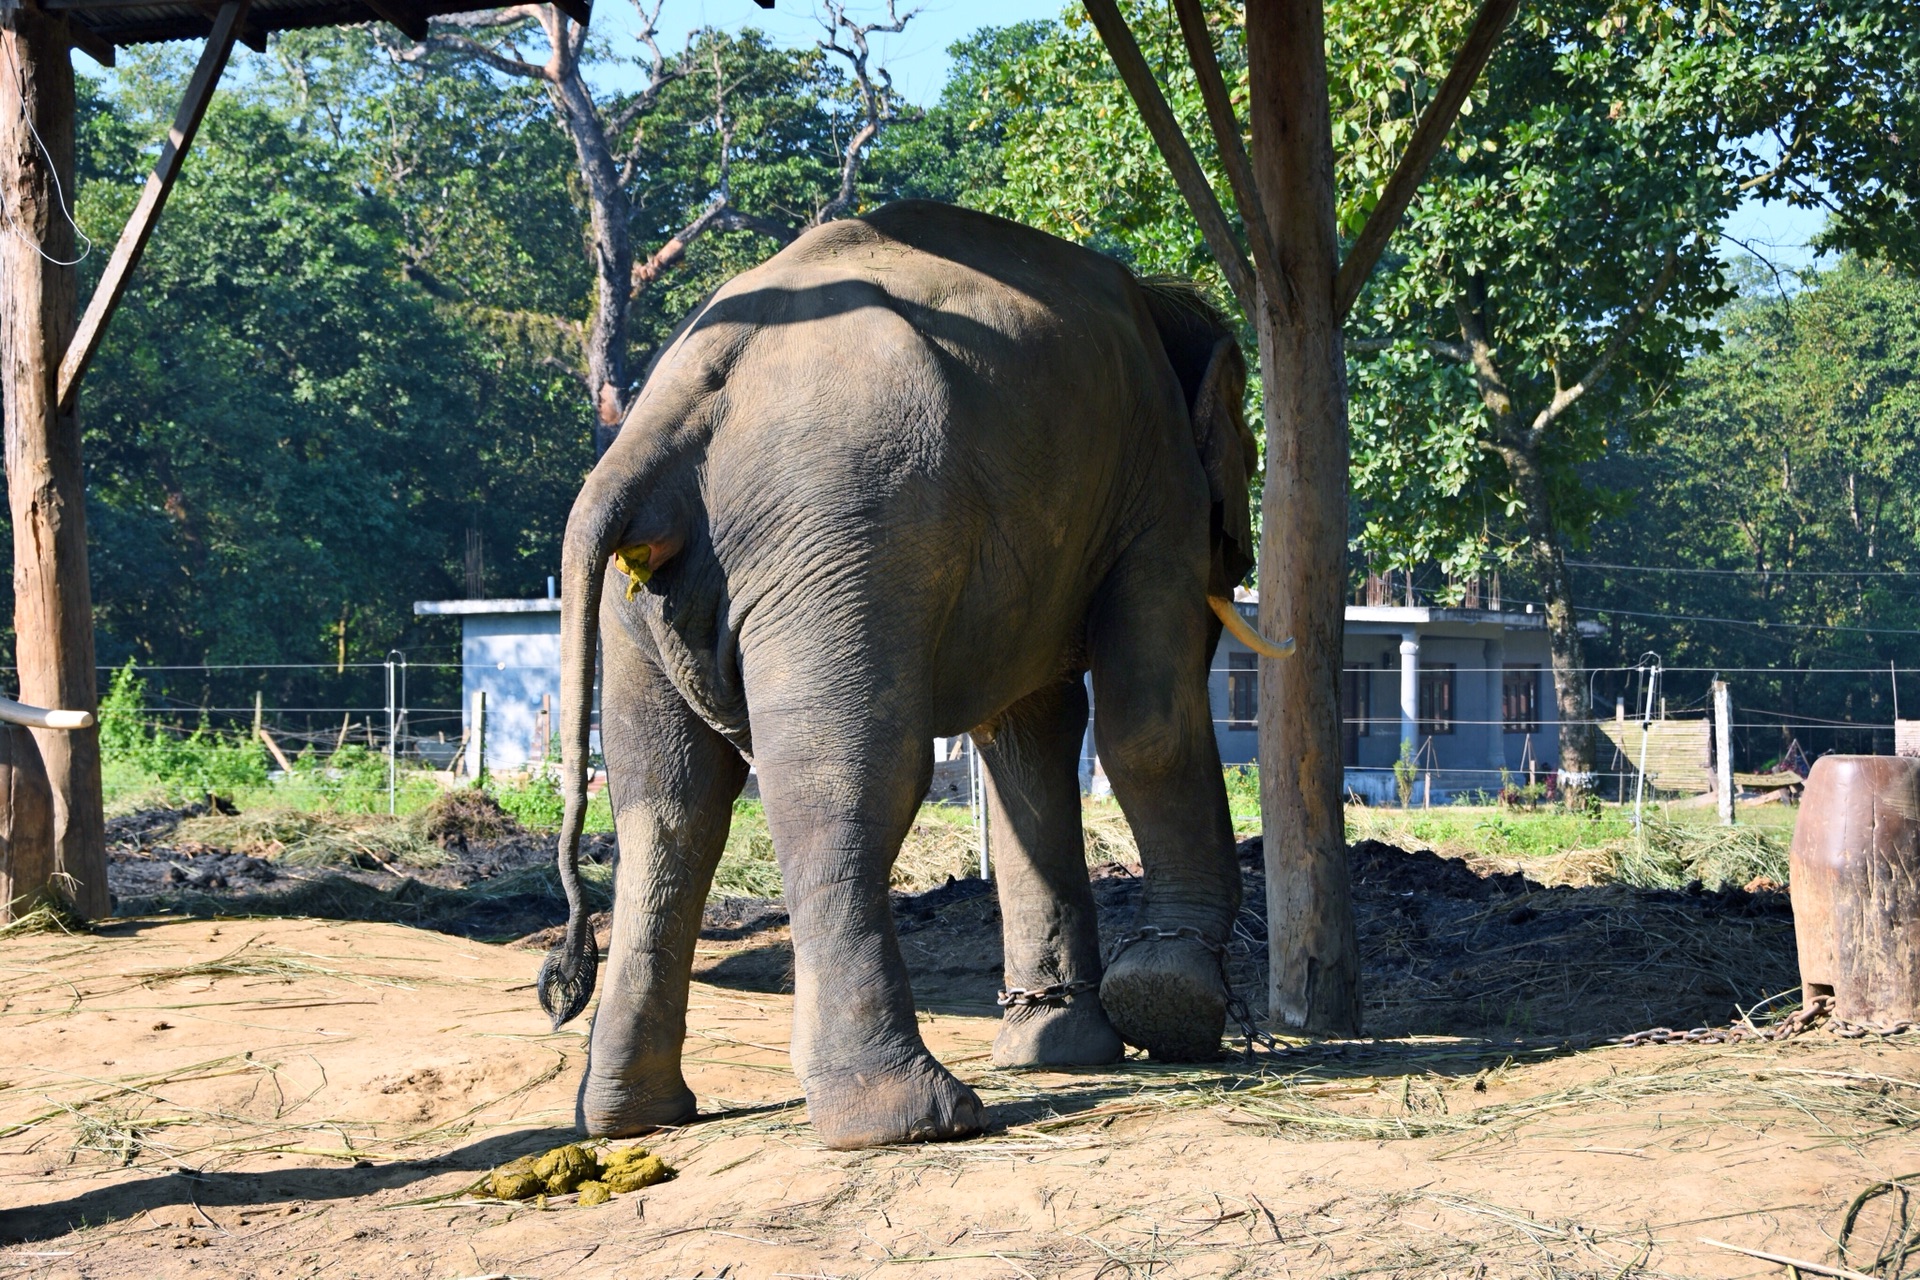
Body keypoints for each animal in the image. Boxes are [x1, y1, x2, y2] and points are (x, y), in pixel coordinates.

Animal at [537, 200, 1290, 1151]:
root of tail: (661, 414)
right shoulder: (1158, 491)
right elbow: (1146, 719)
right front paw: (1172, 1006)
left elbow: (1027, 746)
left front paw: (1054, 1047)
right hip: (843, 532)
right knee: (852, 777)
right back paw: (914, 1119)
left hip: (648, 601)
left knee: (669, 804)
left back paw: (629, 1118)